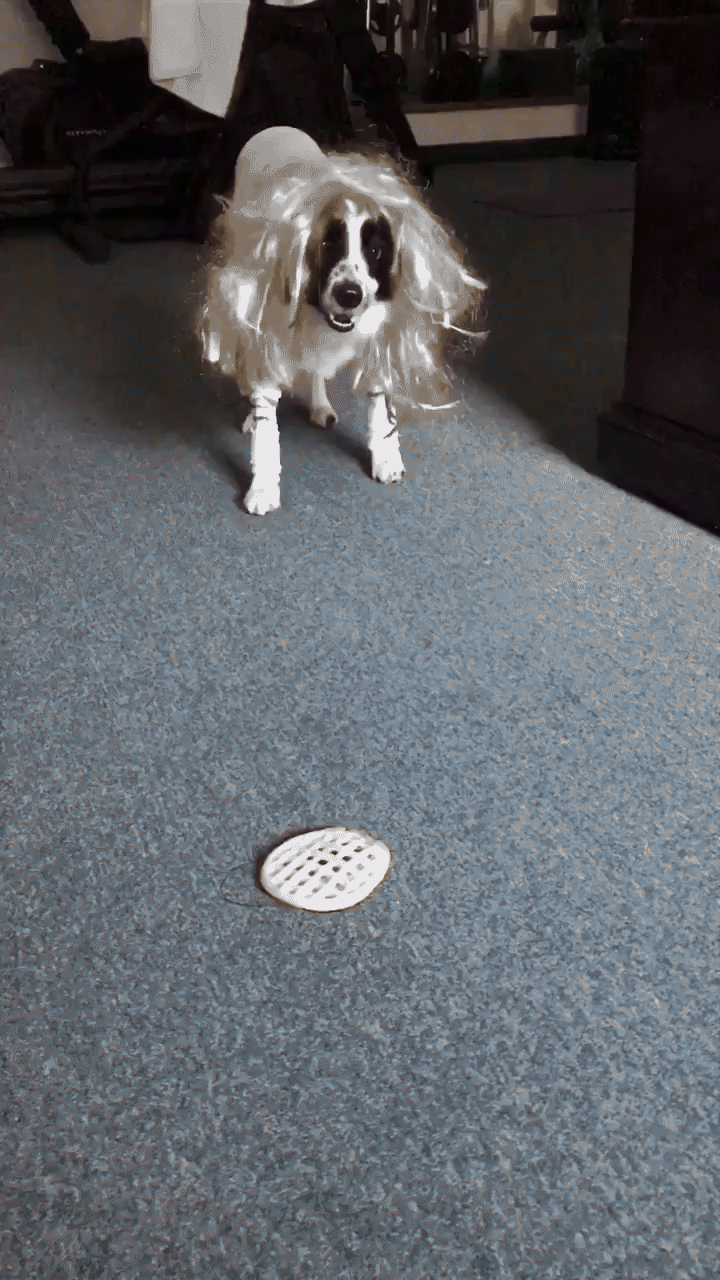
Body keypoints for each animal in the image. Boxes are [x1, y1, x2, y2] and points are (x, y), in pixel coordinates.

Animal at [199, 126, 487, 515]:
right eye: (325, 245)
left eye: (376, 250)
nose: (350, 295)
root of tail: (278, 128)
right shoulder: (265, 329)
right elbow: (266, 429)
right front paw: (262, 487)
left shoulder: (381, 344)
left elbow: (380, 413)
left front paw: (385, 459)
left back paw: (320, 406)